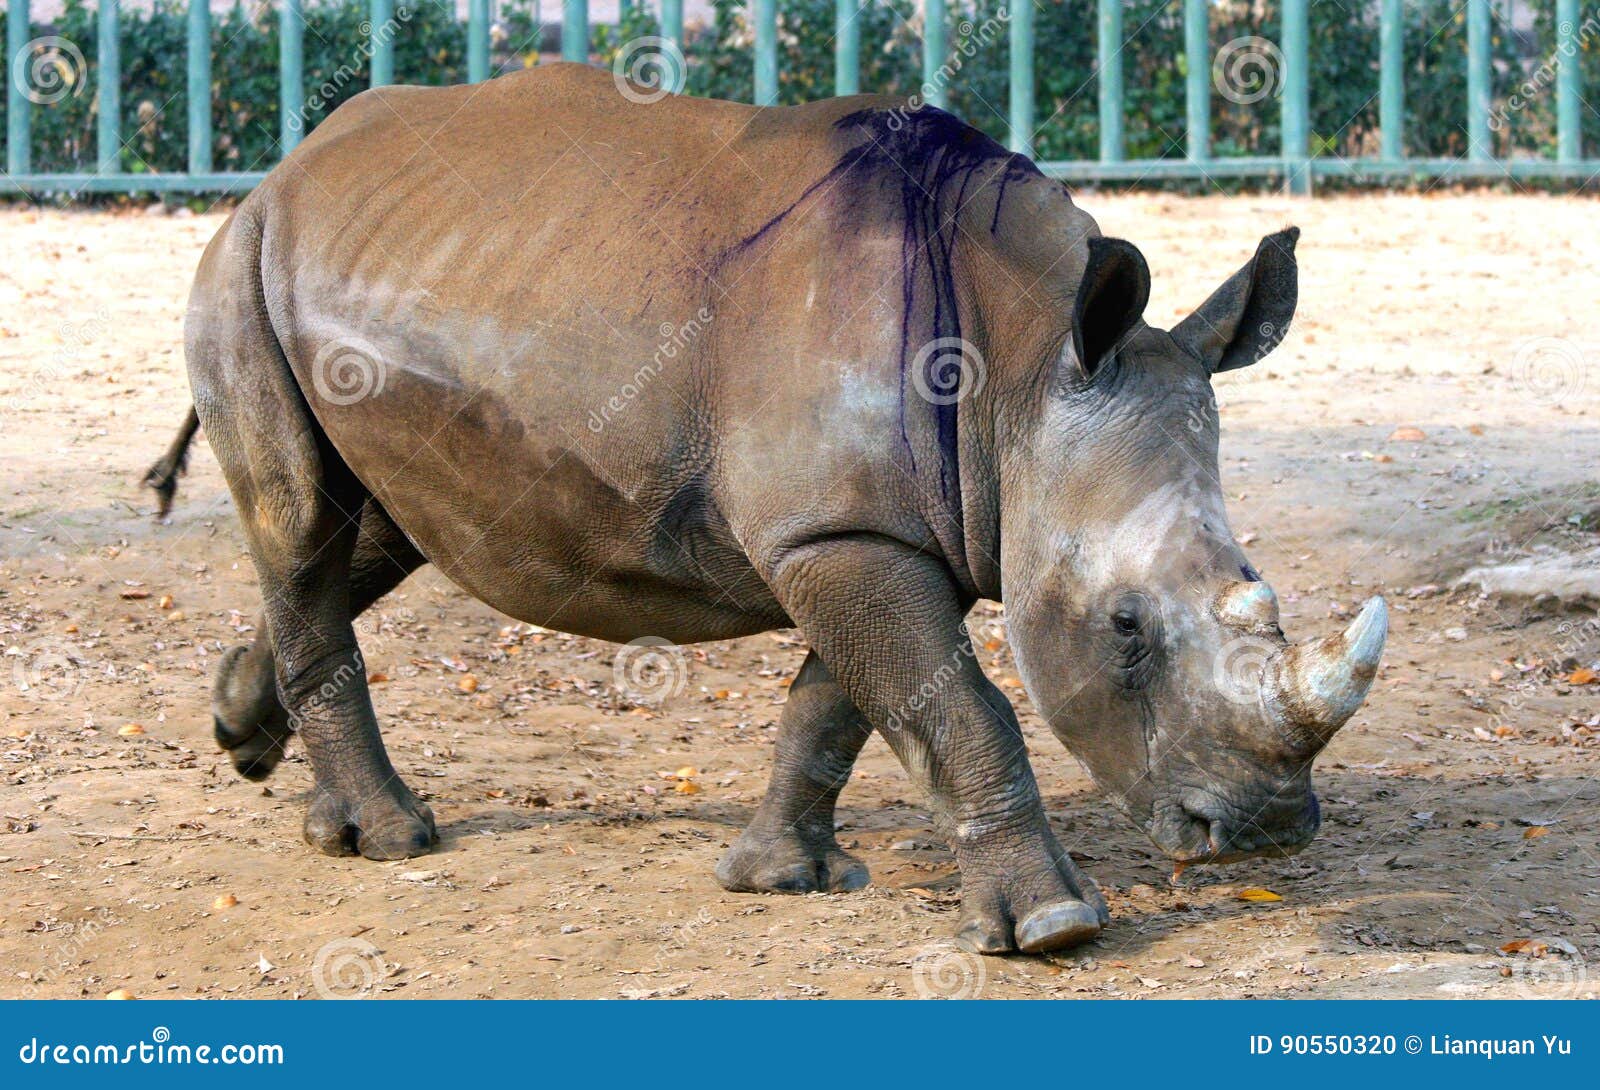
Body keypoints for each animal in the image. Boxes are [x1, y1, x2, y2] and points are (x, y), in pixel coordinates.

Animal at [147, 64, 1385, 955]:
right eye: (1124, 626)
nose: (1264, 829)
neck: (1023, 372)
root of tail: (285, 169)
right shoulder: (842, 534)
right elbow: (961, 706)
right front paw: (1050, 926)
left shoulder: (872, 527)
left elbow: (844, 704)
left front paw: (781, 878)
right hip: (242, 266)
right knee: (301, 523)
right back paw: (391, 841)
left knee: (380, 531)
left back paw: (243, 727)